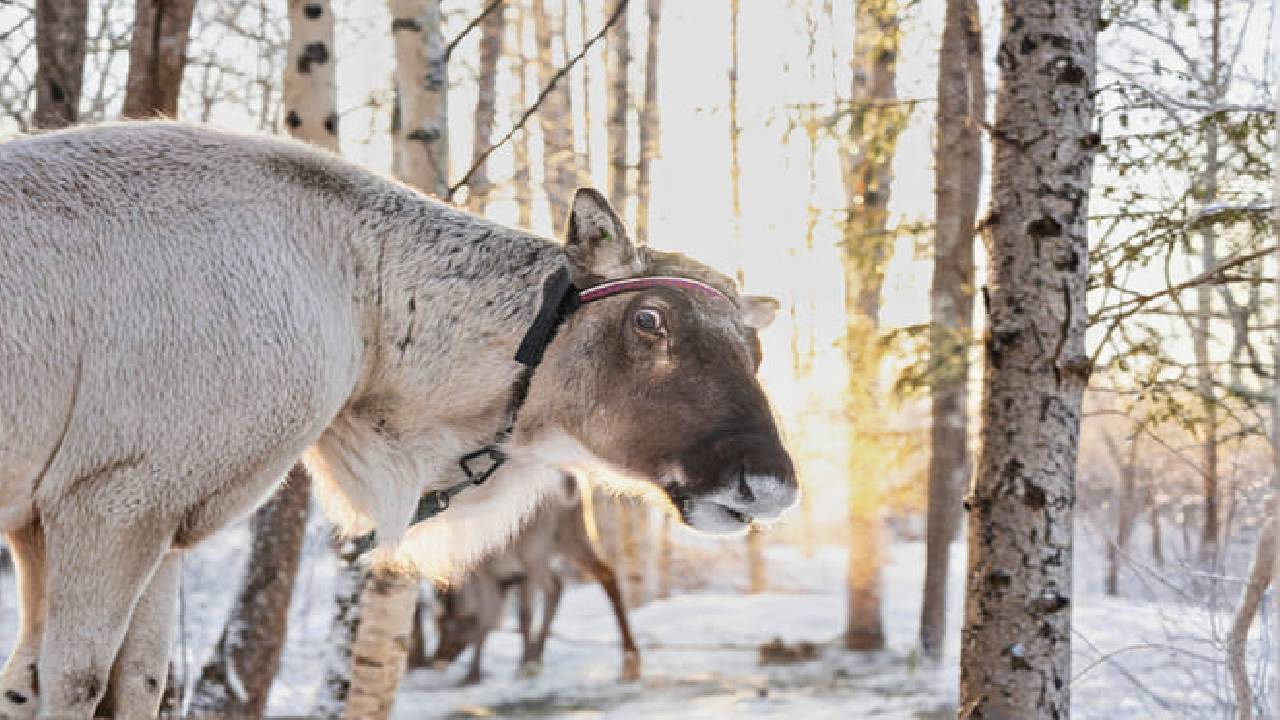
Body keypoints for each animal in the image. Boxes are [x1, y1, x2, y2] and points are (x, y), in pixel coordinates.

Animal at [431, 474, 641, 686]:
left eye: (445, 626)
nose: (437, 658)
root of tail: (570, 484)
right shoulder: (520, 577)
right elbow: (524, 616)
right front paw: (524, 661)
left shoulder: (489, 575)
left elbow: (488, 621)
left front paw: (473, 675)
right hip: (574, 535)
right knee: (606, 573)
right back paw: (630, 658)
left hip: (534, 550)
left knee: (555, 586)